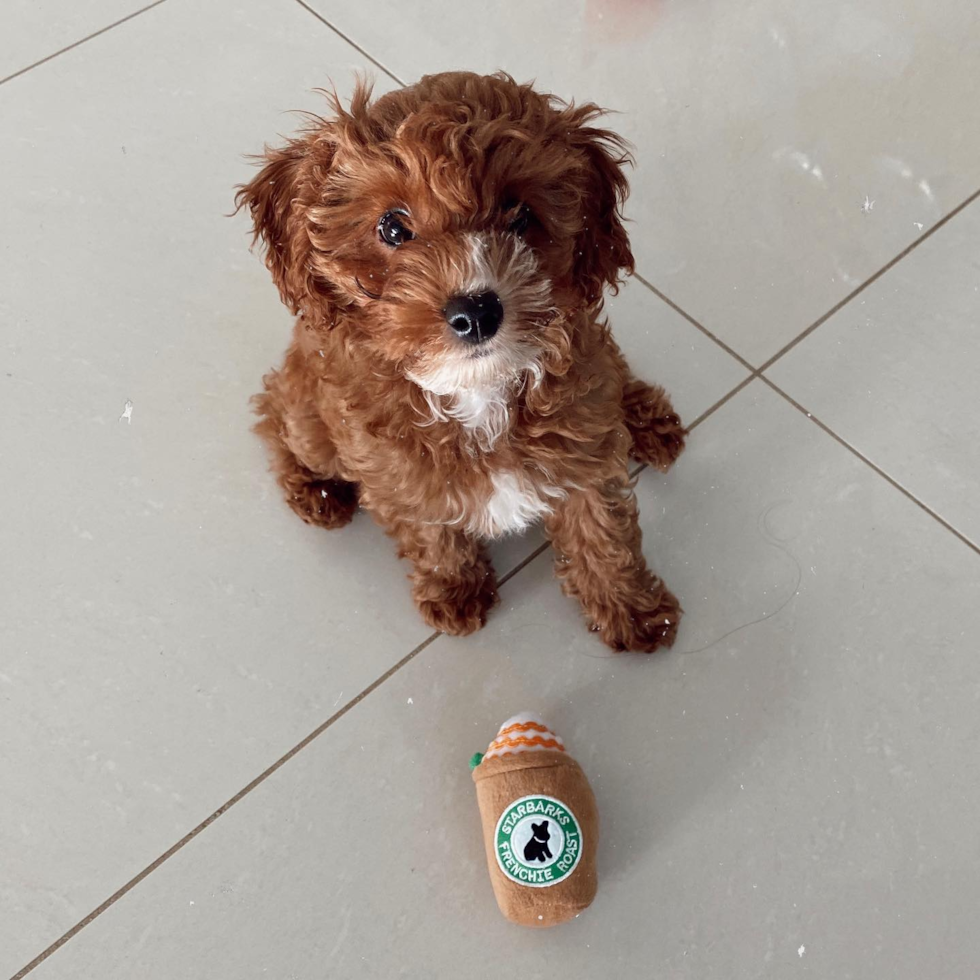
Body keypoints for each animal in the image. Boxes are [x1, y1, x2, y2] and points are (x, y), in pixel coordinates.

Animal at [234, 69, 684, 652]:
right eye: (392, 228)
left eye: (521, 216)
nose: (475, 311)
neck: (477, 391)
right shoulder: (395, 475)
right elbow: (430, 533)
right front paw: (454, 590)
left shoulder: (587, 452)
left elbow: (604, 535)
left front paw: (633, 609)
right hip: (312, 417)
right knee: (275, 411)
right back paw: (314, 489)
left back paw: (646, 419)